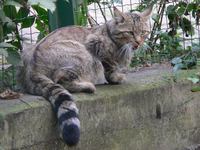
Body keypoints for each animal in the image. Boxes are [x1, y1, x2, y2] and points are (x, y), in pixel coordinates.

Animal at [19, 6, 152, 146]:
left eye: (143, 32)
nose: (138, 42)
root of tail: (32, 69)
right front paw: (115, 77)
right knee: (61, 79)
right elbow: (108, 66)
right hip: (82, 54)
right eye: (130, 32)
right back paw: (88, 85)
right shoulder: (97, 46)